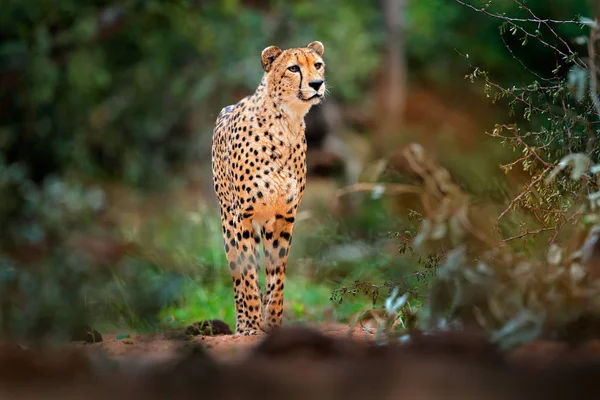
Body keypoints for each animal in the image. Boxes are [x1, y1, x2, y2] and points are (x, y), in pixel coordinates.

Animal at [210, 41, 326, 334]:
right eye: (293, 68)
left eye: (317, 65)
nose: (317, 83)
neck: (286, 123)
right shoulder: (244, 216)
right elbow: (249, 275)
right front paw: (253, 325)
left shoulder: (284, 216)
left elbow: (277, 273)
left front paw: (272, 322)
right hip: (228, 223)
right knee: (238, 274)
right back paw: (243, 323)